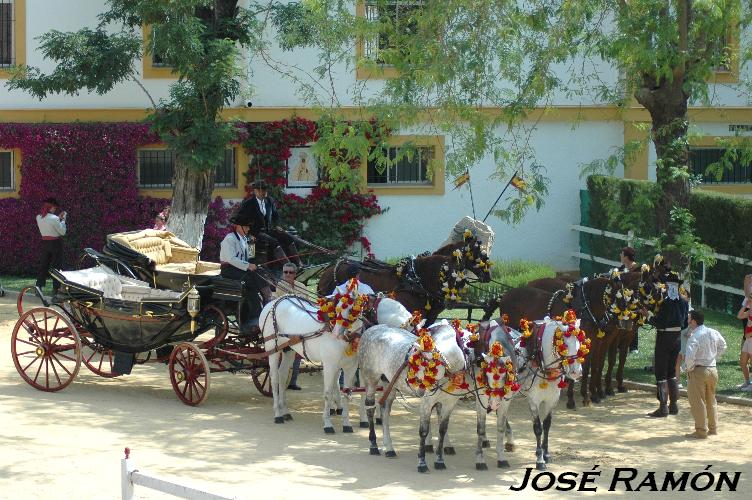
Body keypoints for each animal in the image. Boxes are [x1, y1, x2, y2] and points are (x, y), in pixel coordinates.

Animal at [260, 290, 412, 434]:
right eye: (338, 308)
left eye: (351, 310)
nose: (336, 333)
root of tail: (273, 302)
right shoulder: (330, 365)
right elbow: (328, 393)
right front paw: (328, 424)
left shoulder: (351, 367)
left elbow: (348, 392)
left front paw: (348, 423)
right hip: (272, 348)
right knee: (274, 378)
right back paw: (278, 414)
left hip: (289, 350)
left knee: (282, 375)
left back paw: (285, 411)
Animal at [360, 320, 470, 472]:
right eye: (419, 361)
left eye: (430, 365)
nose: (421, 390)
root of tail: (371, 329)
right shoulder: (426, 403)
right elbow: (423, 431)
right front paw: (422, 463)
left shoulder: (449, 403)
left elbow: (442, 430)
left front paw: (439, 461)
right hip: (371, 379)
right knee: (370, 408)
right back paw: (374, 445)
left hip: (390, 384)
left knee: (385, 411)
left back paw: (389, 448)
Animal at [476, 318, 588, 470]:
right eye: (564, 344)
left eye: (579, 343)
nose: (576, 372)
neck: (542, 364)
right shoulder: (534, 401)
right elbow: (538, 428)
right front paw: (540, 459)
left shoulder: (552, 400)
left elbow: (547, 425)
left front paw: (546, 454)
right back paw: (486, 439)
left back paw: (509, 441)